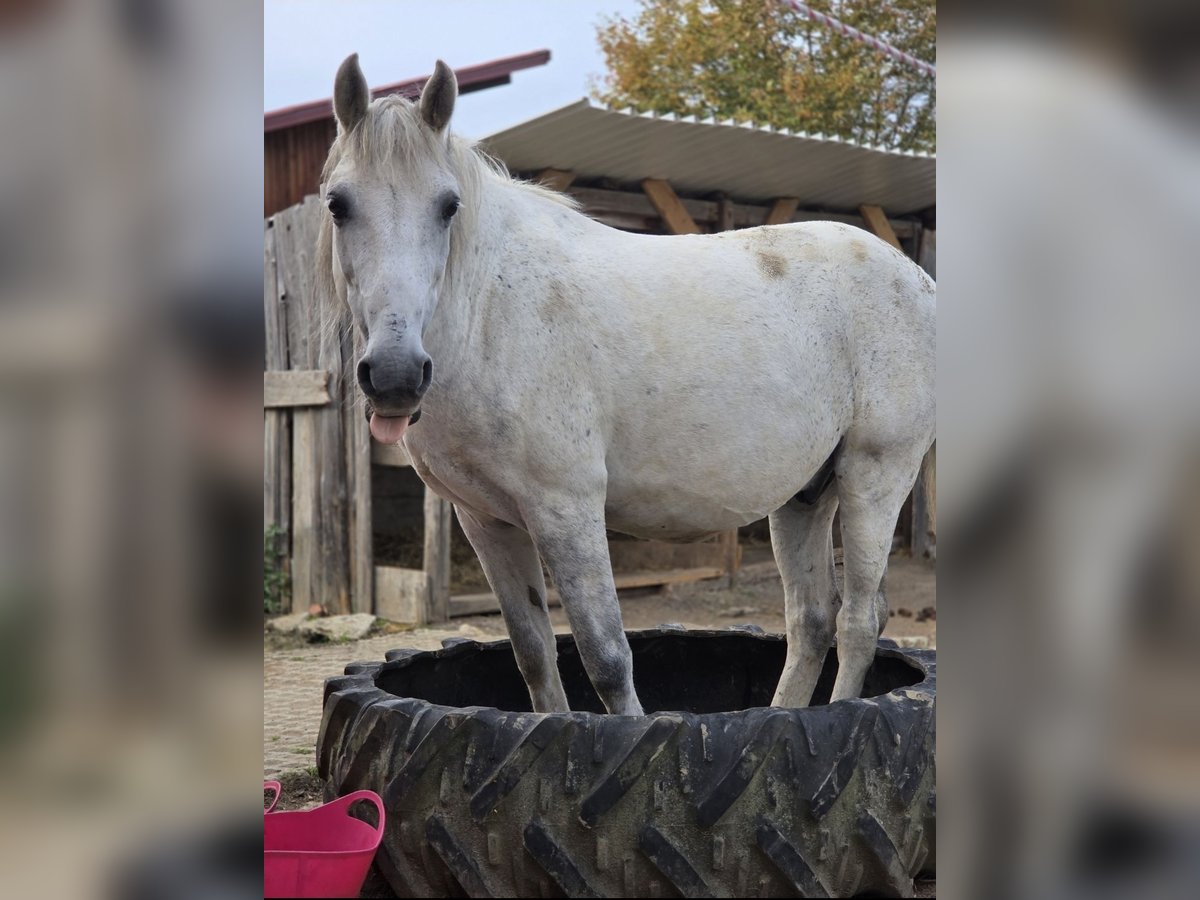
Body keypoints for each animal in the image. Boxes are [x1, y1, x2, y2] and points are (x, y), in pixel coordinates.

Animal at [318, 55, 936, 716]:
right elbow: (533, 654)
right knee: (812, 621)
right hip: (805, 496)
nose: (396, 375)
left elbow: (607, 658)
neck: (488, 310)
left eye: (448, 206)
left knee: (859, 620)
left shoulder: (567, 508)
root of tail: (917, 277)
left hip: (875, 475)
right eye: (337, 204)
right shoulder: (486, 521)